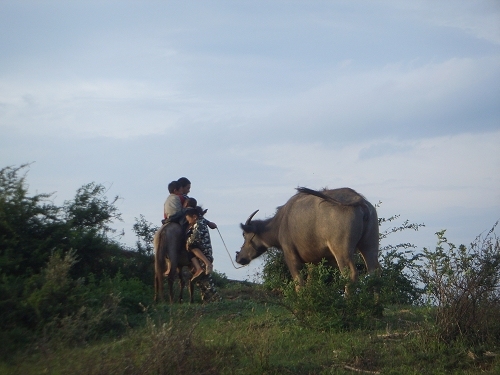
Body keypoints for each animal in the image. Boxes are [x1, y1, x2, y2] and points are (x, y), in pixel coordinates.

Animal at [234, 187, 378, 286]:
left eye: (244, 235)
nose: (239, 257)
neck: (280, 223)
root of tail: (360, 201)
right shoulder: (313, 262)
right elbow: (310, 282)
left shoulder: (291, 256)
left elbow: (299, 283)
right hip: (370, 246)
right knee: (374, 272)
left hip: (342, 251)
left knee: (350, 275)